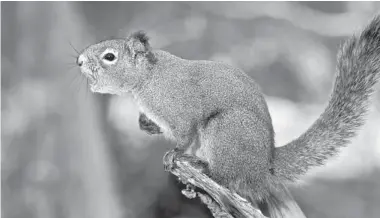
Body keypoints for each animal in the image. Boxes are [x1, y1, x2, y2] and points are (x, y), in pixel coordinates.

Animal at [75, 15, 380, 218]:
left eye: (109, 57)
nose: (78, 61)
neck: (148, 79)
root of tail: (264, 166)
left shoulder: (182, 110)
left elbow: (185, 134)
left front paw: (175, 154)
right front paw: (145, 123)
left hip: (225, 130)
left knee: (226, 177)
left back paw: (199, 165)